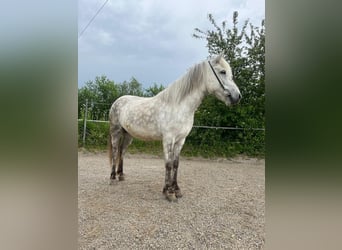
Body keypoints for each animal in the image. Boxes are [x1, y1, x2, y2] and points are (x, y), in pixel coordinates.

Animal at [109, 54, 240, 201]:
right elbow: (168, 164)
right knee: (115, 152)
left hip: (128, 135)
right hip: (116, 132)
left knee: (122, 152)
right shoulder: (168, 139)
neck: (179, 106)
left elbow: (176, 164)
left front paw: (176, 190)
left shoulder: (181, 140)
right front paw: (168, 192)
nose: (237, 97)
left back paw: (121, 175)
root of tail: (118, 101)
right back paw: (112, 178)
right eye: (223, 72)